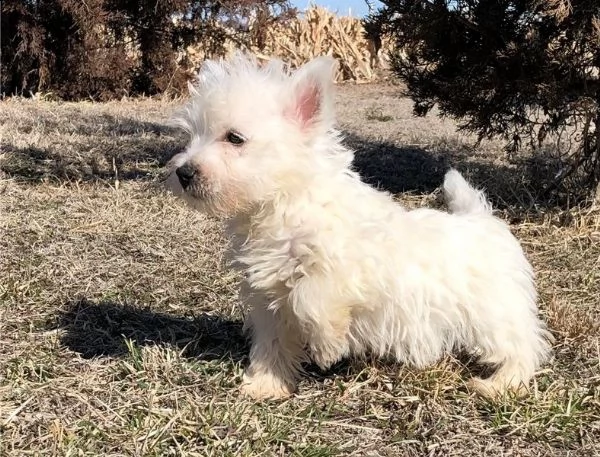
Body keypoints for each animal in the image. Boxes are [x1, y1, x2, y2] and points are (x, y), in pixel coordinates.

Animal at [165, 52, 552, 400]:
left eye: (235, 138)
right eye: (192, 135)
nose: (183, 172)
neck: (286, 204)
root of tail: (481, 218)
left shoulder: (350, 270)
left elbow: (310, 296)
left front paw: (328, 345)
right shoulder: (268, 299)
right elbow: (272, 342)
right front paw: (265, 385)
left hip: (492, 313)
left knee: (524, 344)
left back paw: (501, 383)